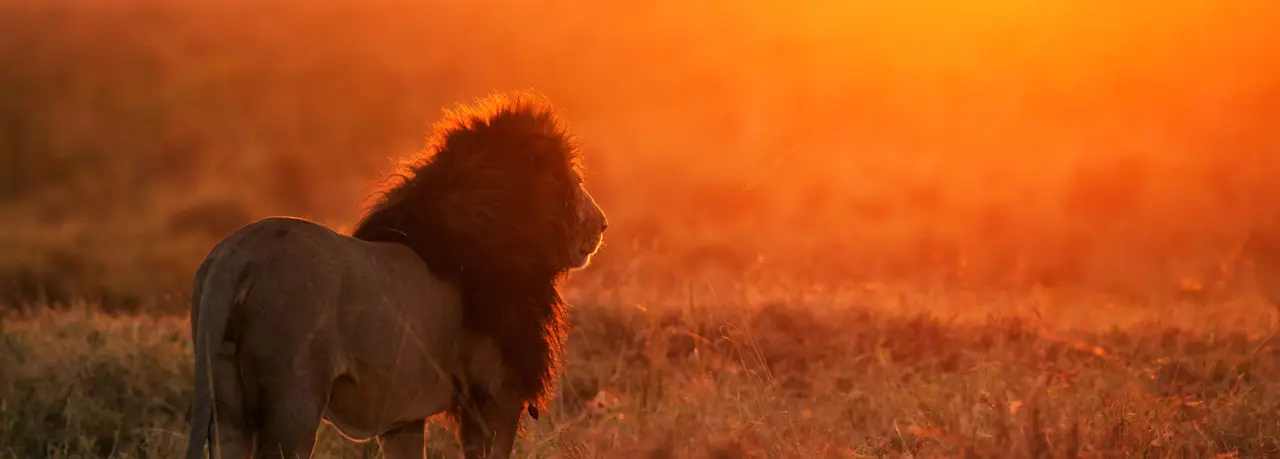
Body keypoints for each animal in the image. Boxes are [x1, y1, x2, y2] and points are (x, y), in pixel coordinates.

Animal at [183, 93, 611, 459]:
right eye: (575, 181)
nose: (603, 223)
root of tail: (238, 254)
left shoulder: (405, 419)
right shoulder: (494, 397)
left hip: (227, 408)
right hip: (293, 403)